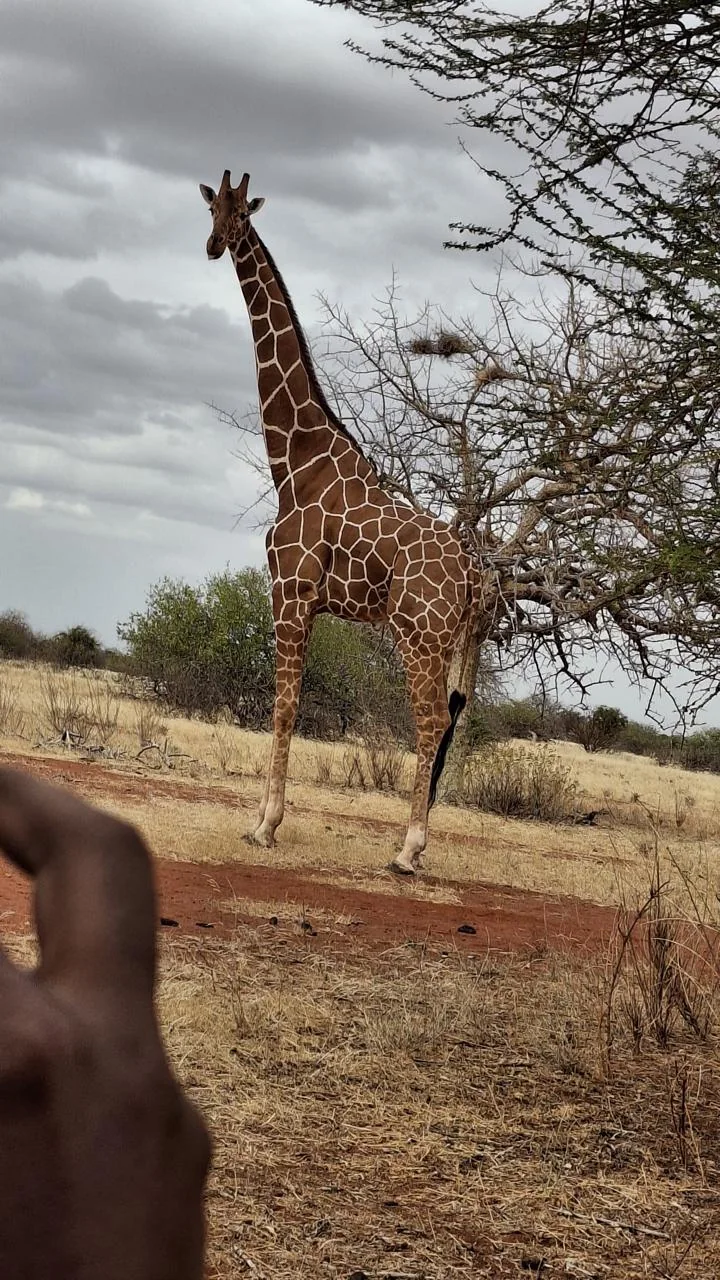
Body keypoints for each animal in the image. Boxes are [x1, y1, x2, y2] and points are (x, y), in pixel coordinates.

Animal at [200, 169, 476, 874]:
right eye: (212, 208)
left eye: (242, 213)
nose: (215, 245)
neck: (295, 460)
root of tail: (475, 575)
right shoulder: (308, 603)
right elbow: (292, 705)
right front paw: (264, 820)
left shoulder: (290, 593)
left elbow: (283, 705)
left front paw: (265, 825)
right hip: (444, 642)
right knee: (444, 721)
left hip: (419, 637)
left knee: (431, 721)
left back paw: (408, 850)